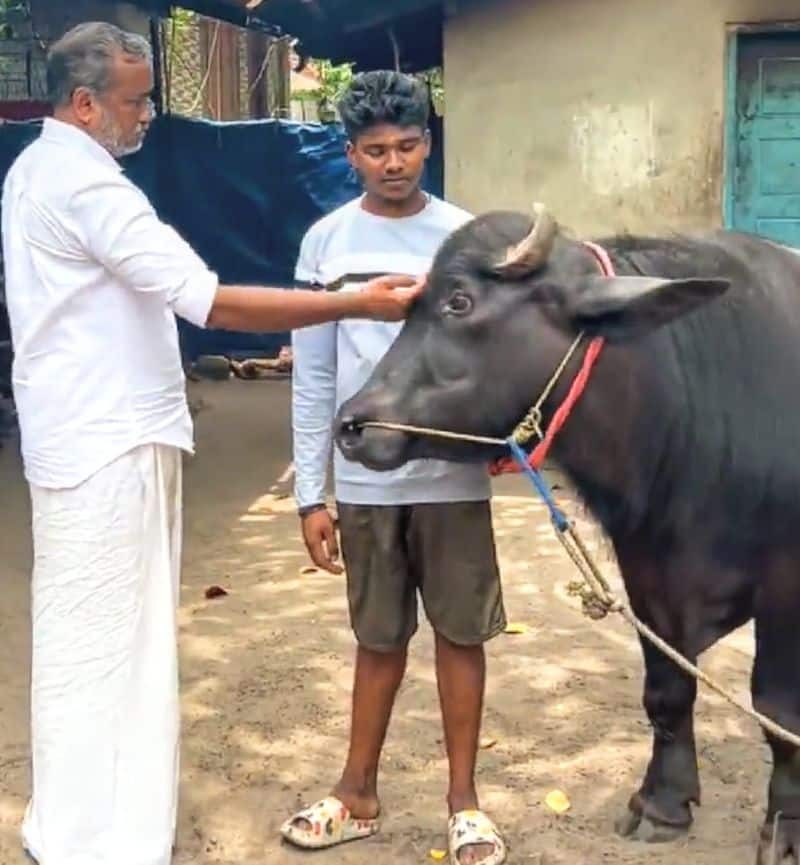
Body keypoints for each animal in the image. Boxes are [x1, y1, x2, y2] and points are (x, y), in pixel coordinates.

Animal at [334, 206, 800, 860]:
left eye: (459, 301)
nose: (351, 425)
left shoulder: (787, 585)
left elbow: (778, 710)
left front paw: (784, 827)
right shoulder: (647, 570)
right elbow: (666, 689)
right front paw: (662, 803)